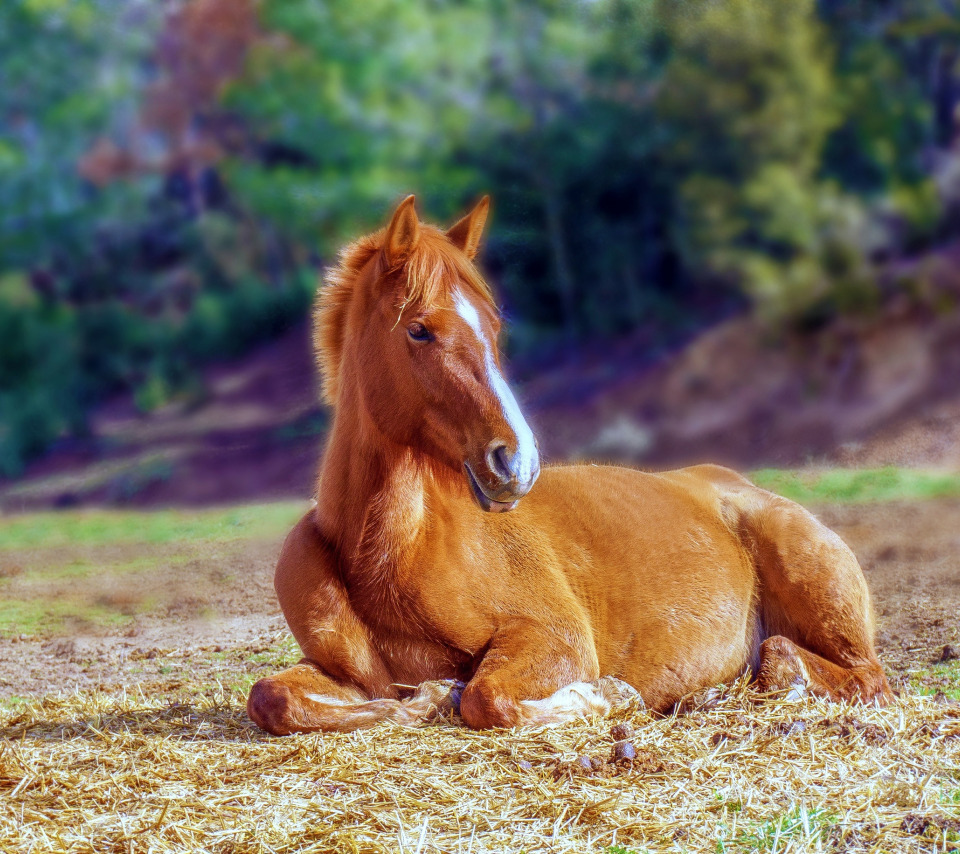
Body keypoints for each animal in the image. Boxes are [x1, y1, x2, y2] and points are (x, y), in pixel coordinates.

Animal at [249, 197, 892, 740]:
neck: (390, 553)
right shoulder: (343, 673)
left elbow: (485, 699)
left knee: (842, 672)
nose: (516, 460)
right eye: (419, 329)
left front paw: (609, 696)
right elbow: (273, 697)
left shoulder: (553, 638)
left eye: (494, 327)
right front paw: (425, 697)